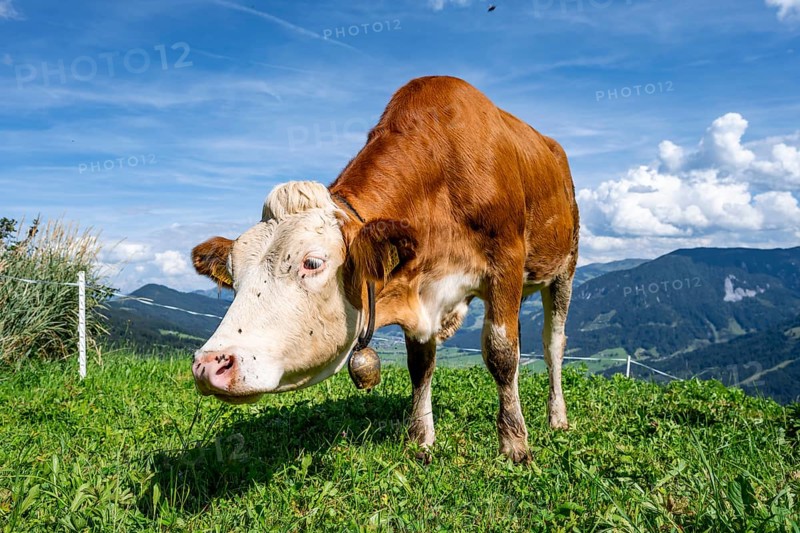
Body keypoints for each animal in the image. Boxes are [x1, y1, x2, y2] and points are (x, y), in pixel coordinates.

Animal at [191, 76, 579, 463]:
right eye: (234, 273)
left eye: (312, 263)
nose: (210, 365)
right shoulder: (420, 286)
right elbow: (420, 364)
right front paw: (420, 439)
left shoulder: (506, 263)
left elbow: (501, 353)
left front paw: (515, 444)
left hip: (564, 268)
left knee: (553, 344)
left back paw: (557, 418)